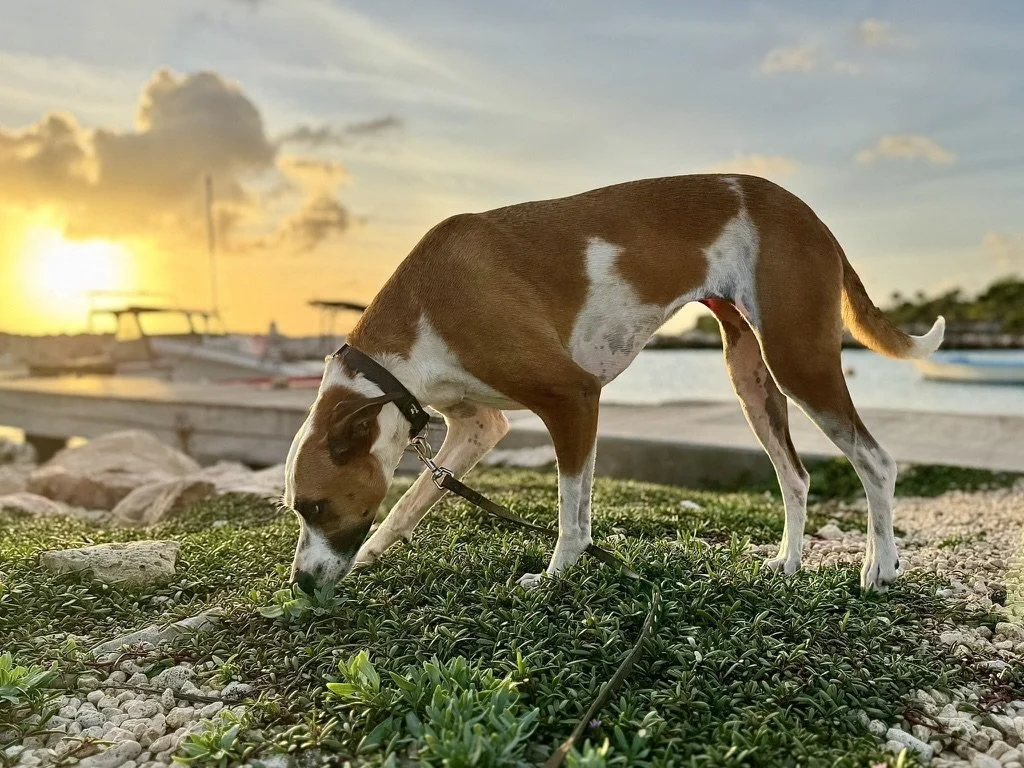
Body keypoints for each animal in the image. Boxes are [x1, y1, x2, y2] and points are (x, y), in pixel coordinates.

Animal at [283, 174, 944, 594]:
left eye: (314, 506)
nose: (301, 584)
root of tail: (811, 216)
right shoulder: (478, 425)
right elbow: (412, 502)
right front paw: (374, 553)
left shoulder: (572, 400)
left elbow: (571, 515)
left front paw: (554, 578)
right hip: (751, 377)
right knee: (797, 475)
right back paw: (788, 562)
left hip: (797, 360)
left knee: (876, 461)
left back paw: (881, 567)